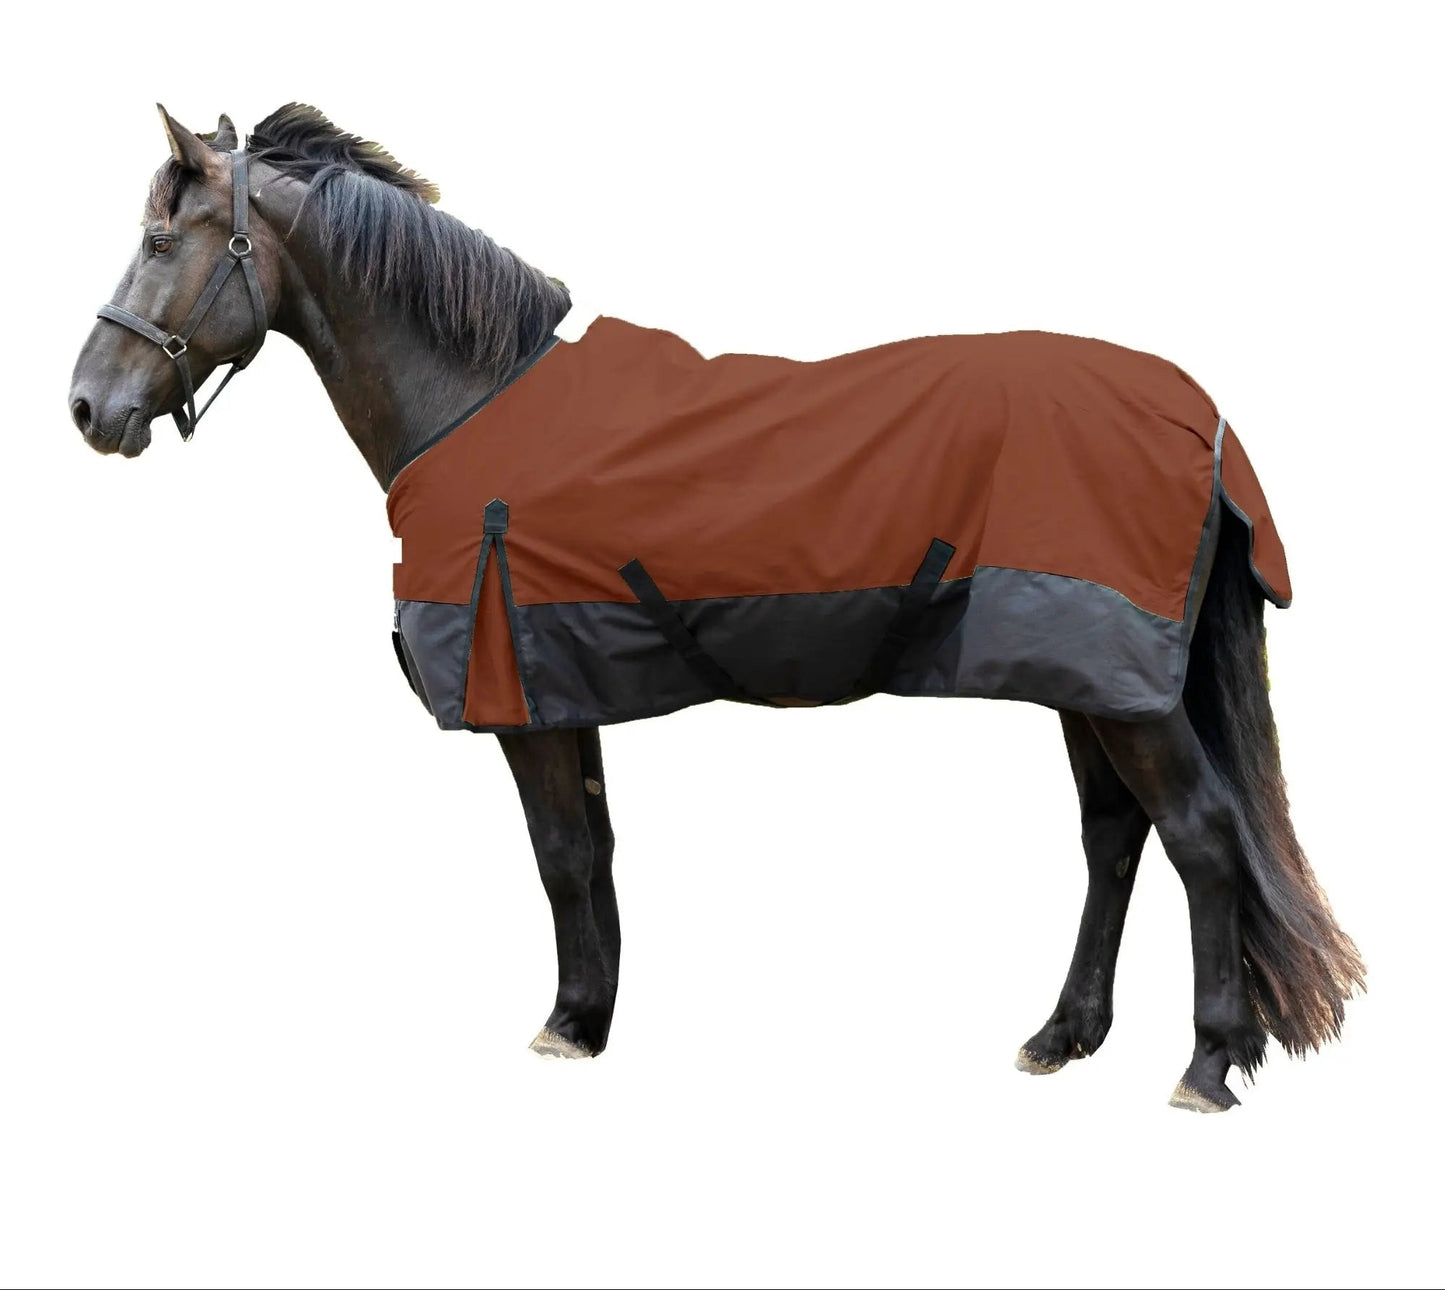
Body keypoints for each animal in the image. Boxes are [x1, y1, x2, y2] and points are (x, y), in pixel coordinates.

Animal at [68, 103, 1364, 1112]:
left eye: (158, 239)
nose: (86, 407)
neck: (473, 401)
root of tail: (1195, 419)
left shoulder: (521, 697)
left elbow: (557, 855)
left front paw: (564, 1026)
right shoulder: (561, 686)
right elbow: (590, 852)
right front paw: (589, 1016)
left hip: (1120, 689)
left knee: (1198, 837)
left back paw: (1204, 1065)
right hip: (1082, 680)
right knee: (1112, 838)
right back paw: (1063, 1037)